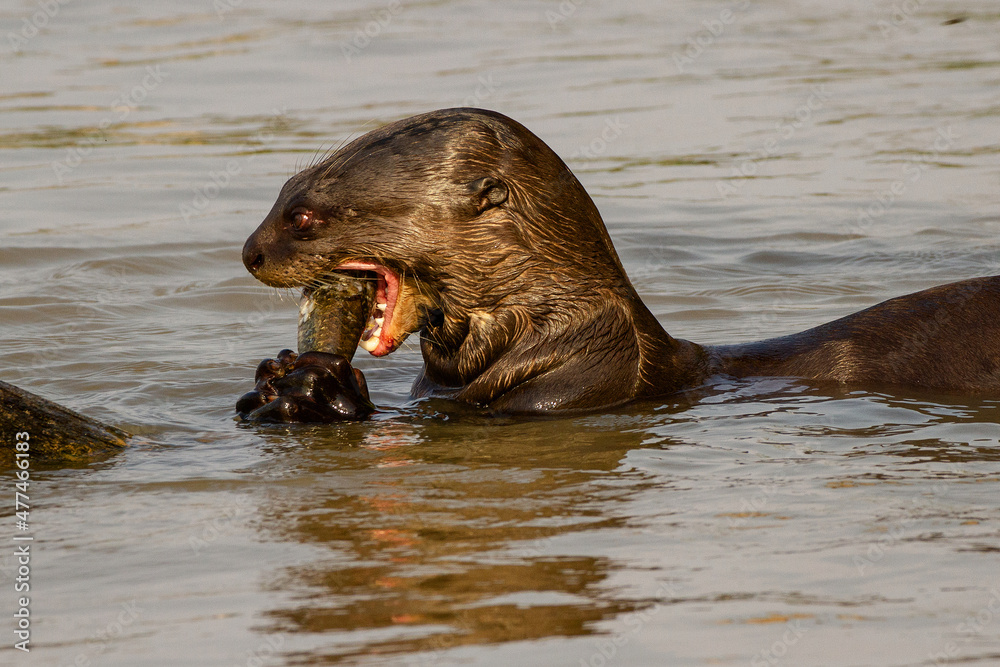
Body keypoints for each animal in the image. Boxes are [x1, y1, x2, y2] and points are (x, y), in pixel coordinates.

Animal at [240, 108, 1000, 422]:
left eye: (302, 215)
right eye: (280, 191)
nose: (249, 252)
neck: (567, 336)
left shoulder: (568, 393)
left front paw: (319, 388)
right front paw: (275, 373)